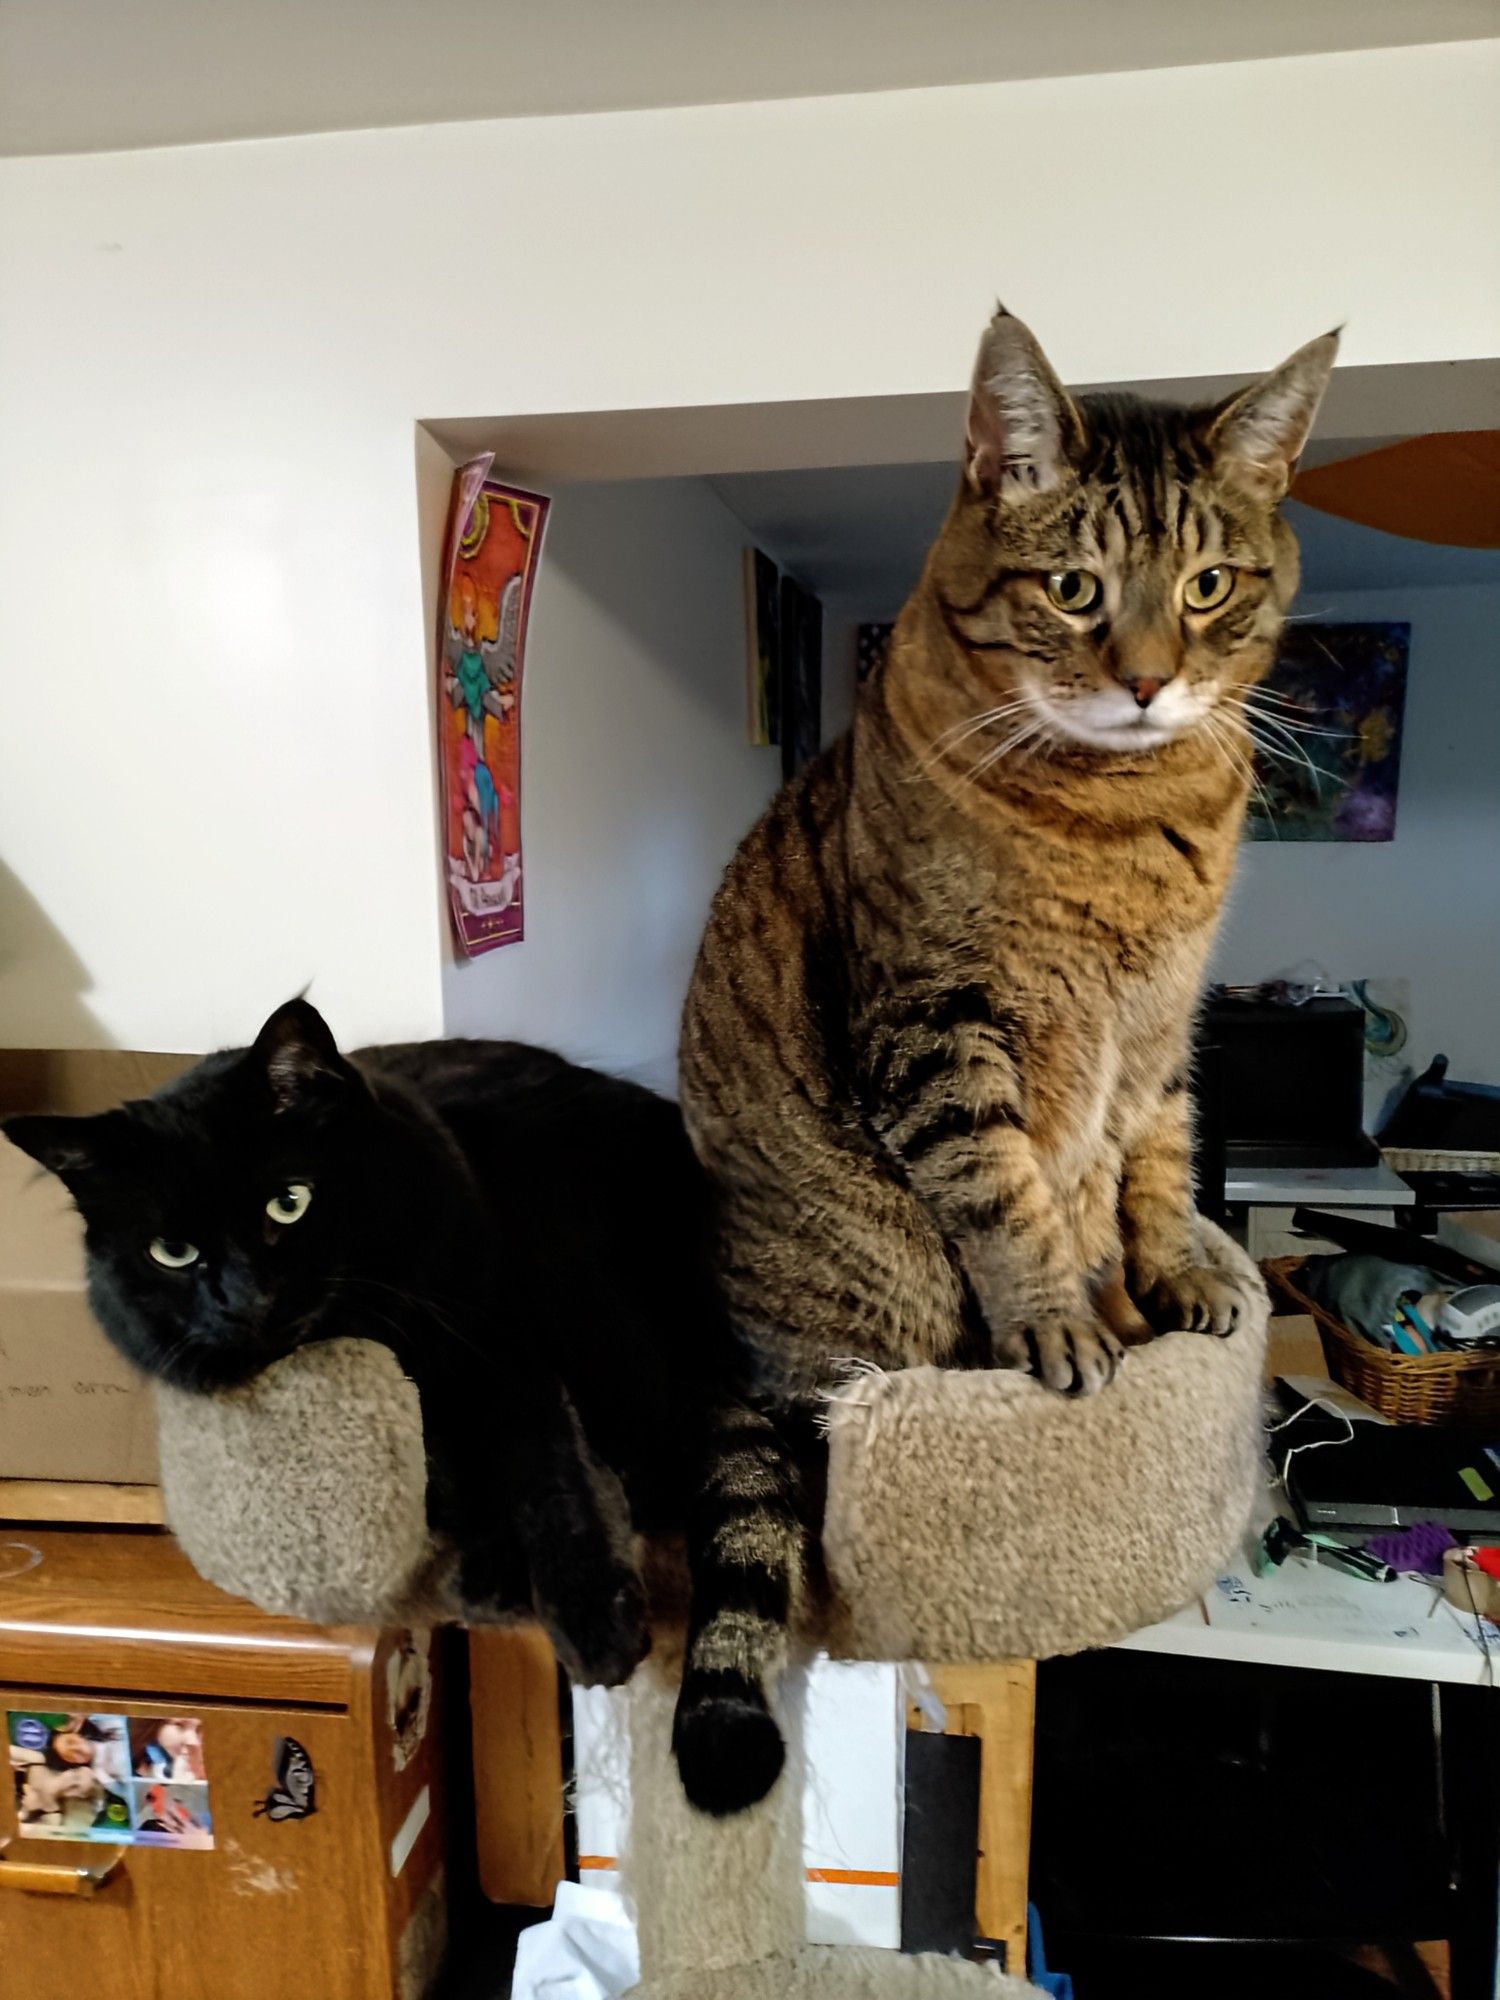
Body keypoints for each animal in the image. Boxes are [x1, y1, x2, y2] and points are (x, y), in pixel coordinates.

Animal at [5, 1000, 804, 1816]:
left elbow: (549, 1471)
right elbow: (452, 1469)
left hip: (584, 1281)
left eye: (289, 1202)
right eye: (172, 1252)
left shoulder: (497, 1337)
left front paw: (592, 1619)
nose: (248, 1301)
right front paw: (491, 1567)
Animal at [668, 308, 1336, 1816]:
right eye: (1076, 590)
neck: (1133, 814)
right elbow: (1009, 1196)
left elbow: (1158, 1161)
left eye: (1207, 585)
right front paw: (1061, 1328)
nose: (1147, 679)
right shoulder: (937, 1023)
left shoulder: (1164, 1029)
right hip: (870, 1300)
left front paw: (1180, 1276)